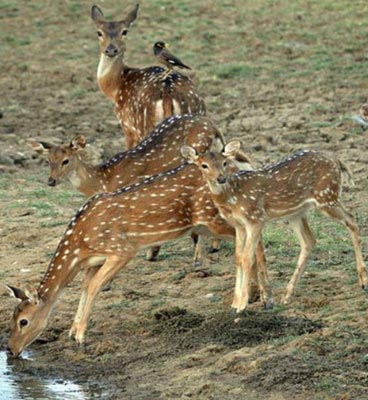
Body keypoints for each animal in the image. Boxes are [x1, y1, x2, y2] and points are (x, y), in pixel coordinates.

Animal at [5, 162, 270, 356]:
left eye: (23, 322)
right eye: (12, 317)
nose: (10, 350)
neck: (80, 246)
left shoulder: (121, 249)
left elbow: (93, 287)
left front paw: (80, 336)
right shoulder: (94, 261)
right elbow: (85, 286)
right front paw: (72, 331)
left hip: (216, 218)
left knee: (255, 240)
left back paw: (252, 301)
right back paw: (258, 298)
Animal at [28, 115, 236, 264]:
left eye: (65, 160)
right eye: (48, 160)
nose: (51, 181)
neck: (103, 179)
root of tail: (214, 128)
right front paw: (152, 253)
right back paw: (214, 246)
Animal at [90, 4, 206, 149]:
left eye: (124, 32)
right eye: (99, 32)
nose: (111, 50)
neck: (116, 87)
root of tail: (168, 95)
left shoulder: (127, 126)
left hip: (144, 128)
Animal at [183, 141, 366, 310]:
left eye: (224, 163)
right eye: (204, 165)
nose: (221, 178)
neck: (232, 197)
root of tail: (337, 160)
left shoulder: (255, 218)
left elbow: (247, 258)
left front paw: (242, 305)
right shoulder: (238, 225)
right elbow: (238, 258)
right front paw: (234, 304)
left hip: (327, 196)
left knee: (352, 221)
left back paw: (363, 281)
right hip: (297, 212)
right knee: (309, 240)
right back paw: (286, 295)